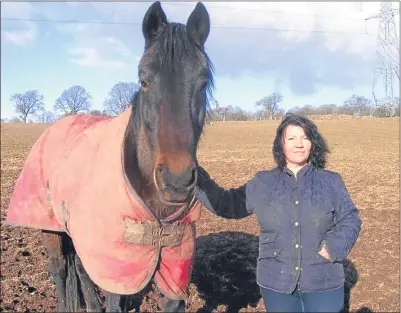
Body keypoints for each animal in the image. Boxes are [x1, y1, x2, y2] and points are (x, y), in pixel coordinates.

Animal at [4, 1, 214, 310]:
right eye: (143, 80)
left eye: (203, 82)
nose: (176, 181)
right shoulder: (117, 269)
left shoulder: (174, 272)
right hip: (51, 230)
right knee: (60, 270)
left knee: (81, 270)